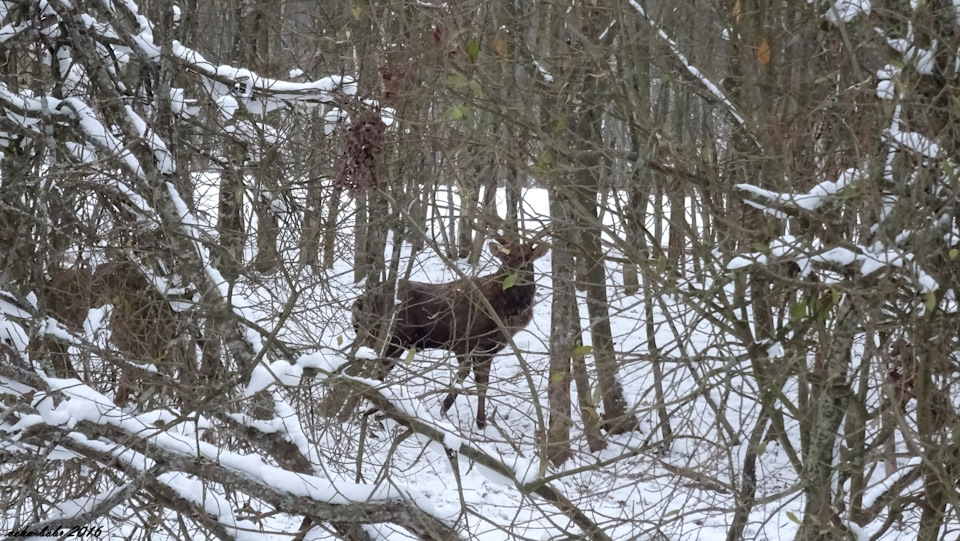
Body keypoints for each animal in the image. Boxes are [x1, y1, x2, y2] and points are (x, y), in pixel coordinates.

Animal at [352, 234, 548, 428]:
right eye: (505, 258)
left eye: (528, 258)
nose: (518, 271)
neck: (507, 314)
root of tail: (358, 302)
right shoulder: (463, 340)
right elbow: (465, 372)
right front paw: (445, 407)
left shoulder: (488, 348)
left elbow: (483, 383)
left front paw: (481, 421)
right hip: (397, 334)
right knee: (380, 368)